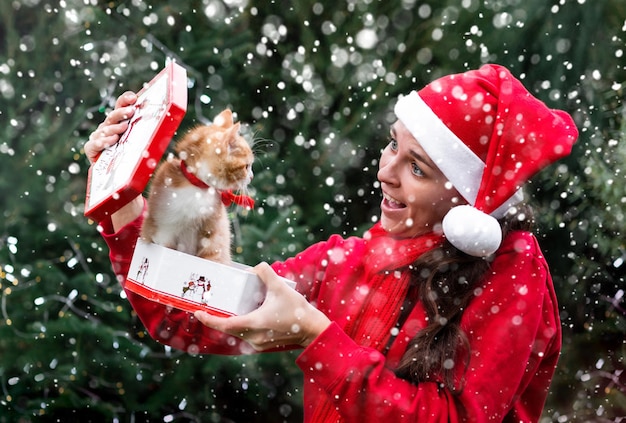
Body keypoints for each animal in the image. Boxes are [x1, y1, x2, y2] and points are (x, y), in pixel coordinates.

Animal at [141, 108, 254, 264]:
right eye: (246, 166)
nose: (251, 176)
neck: (198, 188)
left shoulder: (213, 232)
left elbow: (212, 257)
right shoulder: (165, 227)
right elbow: (167, 244)